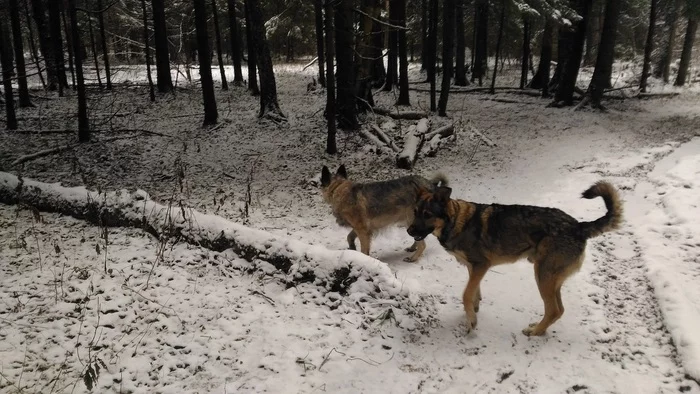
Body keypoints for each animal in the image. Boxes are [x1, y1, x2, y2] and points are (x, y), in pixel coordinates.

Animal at [404, 182, 624, 336]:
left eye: (427, 214)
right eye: (415, 212)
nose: (408, 231)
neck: (456, 221)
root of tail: (579, 226)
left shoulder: (481, 265)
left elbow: (466, 294)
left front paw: (471, 320)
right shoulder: (473, 268)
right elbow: (474, 292)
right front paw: (473, 311)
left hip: (542, 276)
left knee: (553, 310)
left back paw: (535, 332)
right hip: (551, 280)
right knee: (560, 310)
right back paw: (540, 329)